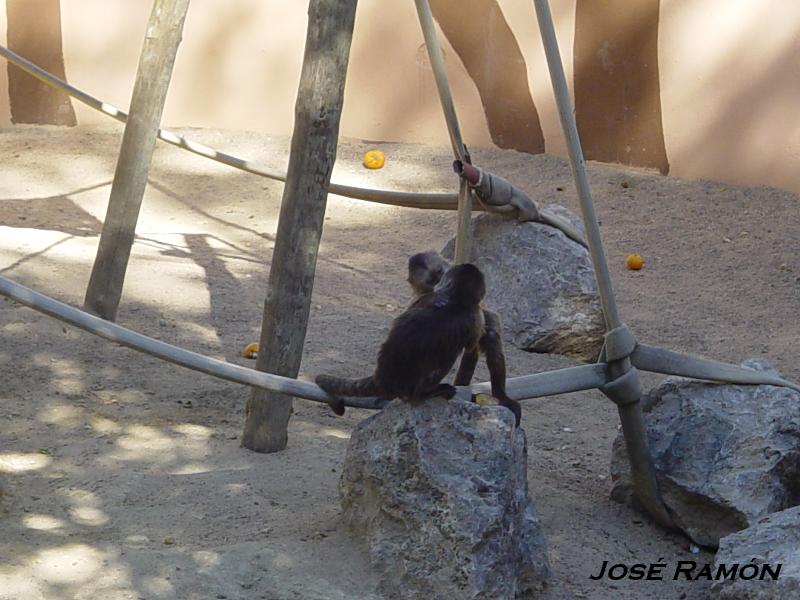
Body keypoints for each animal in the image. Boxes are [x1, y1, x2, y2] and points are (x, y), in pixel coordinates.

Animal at [316, 262, 484, 418]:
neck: (457, 298)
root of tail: (382, 378)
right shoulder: (475, 315)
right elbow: (471, 345)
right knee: (447, 359)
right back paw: (425, 394)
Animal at [406, 251, 520, 424]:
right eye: (432, 282)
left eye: (441, 272)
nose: (443, 284)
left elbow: (488, 318)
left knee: (489, 337)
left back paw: (500, 395)